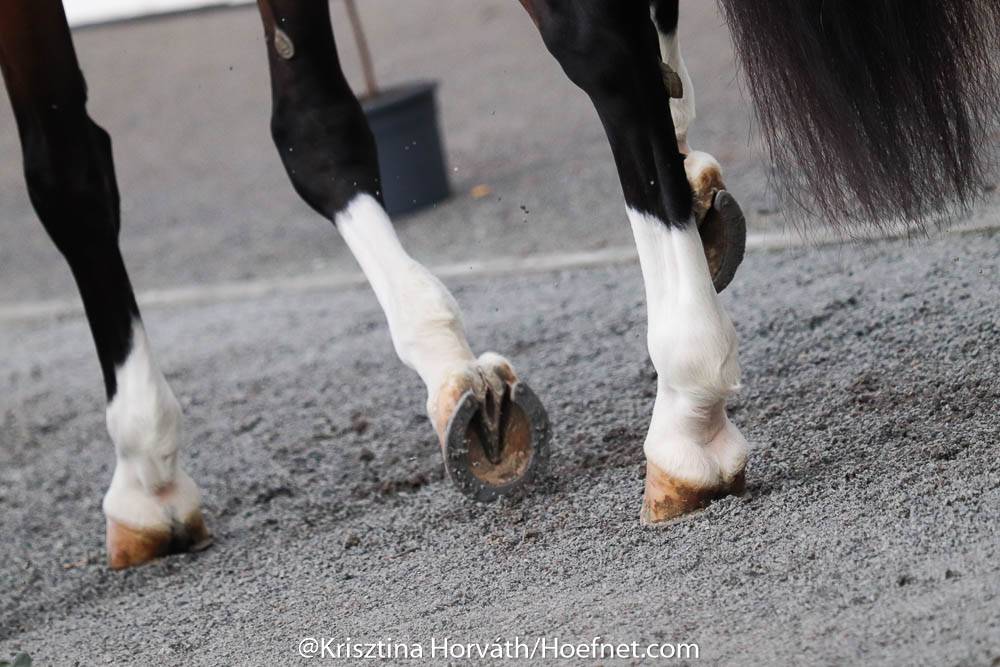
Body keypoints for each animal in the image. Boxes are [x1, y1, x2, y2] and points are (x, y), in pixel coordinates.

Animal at [3, 1, 996, 568]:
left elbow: (67, 177)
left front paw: (146, 471)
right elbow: (315, 123)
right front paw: (459, 380)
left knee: (600, 46)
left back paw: (689, 408)